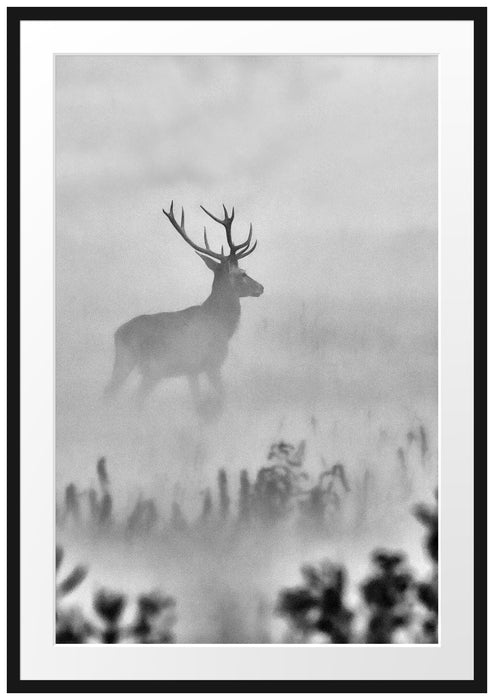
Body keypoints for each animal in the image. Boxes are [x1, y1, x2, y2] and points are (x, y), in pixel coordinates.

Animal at [104, 202, 263, 408]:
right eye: (243, 273)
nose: (260, 287)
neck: (221, 323)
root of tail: (117, 334)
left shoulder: (192, 370)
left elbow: (197, 399)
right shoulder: (211, 362)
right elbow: (222, 395)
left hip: (130, 363)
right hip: (149, 366)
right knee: (126, 397)